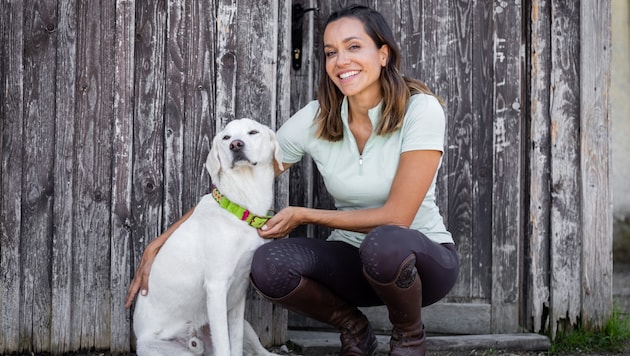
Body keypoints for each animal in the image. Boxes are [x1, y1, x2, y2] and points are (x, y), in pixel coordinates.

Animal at [135, 119, 284, 356]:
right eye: (226, 137)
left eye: (253, 132)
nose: (235, 144)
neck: (240, 209)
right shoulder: (216, 287)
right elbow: (225, 347)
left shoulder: (238, 295)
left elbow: (235, 345)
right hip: (155, 346)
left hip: (247, 326)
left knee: (260, 351)